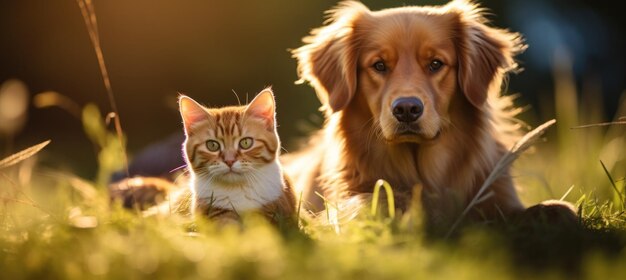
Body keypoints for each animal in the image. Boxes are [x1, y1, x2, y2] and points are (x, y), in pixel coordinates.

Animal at [177, 88, 296, 224]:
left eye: (246, 143)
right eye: (212, 145)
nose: (229, 160)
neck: (237, 189)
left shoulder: (277, 208)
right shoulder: (211, 210)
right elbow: (226, 223)